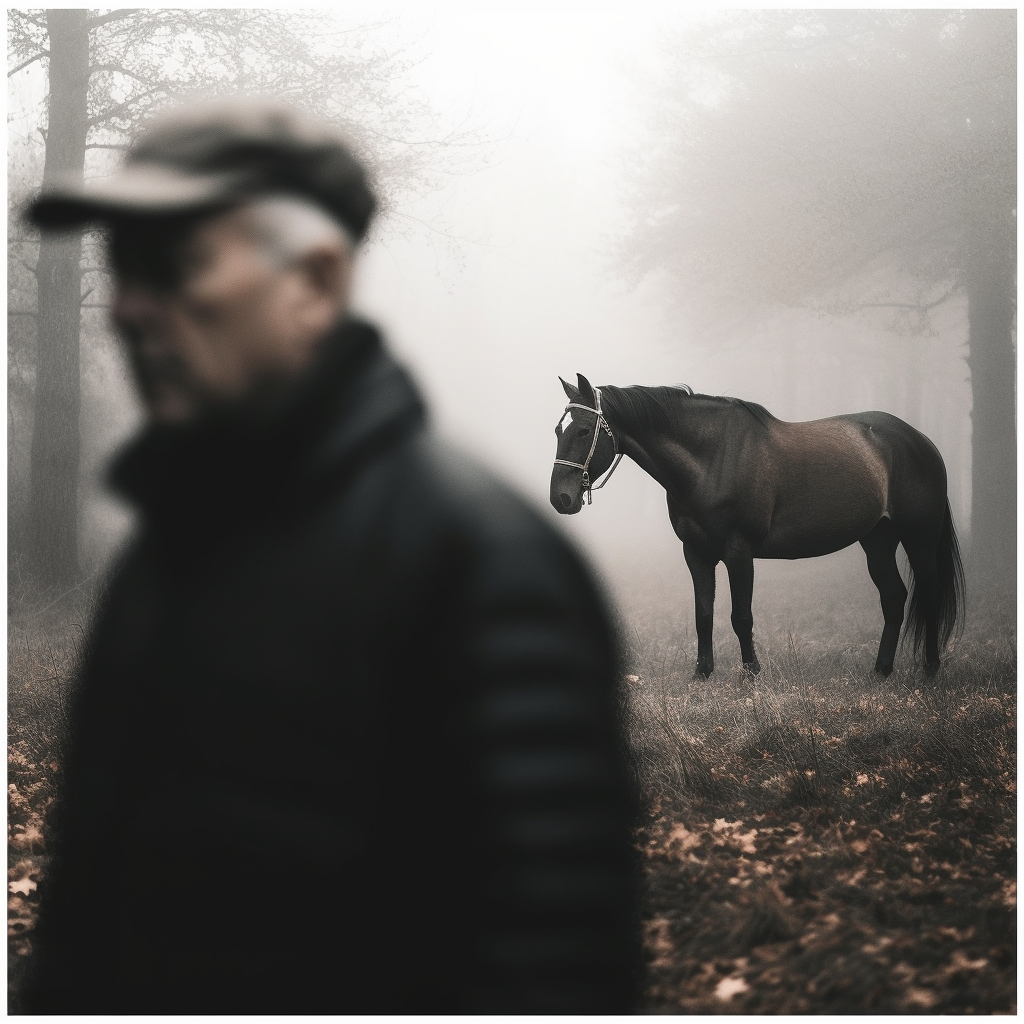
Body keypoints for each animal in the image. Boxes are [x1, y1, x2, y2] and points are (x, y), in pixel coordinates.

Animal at [548, 372, 962, 675]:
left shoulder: (739, 552)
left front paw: (751, 673)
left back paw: (930, 669)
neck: (712, 458)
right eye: (558, 430)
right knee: (893, 597)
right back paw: (881, 671)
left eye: (583, 430)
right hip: (878, 540)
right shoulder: (696, 553)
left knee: (928, 594)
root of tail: (921, 441)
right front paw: (702, 673)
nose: (560, 498)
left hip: (920, 540)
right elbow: (703, 614)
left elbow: (740, 616)